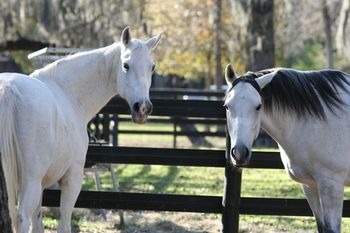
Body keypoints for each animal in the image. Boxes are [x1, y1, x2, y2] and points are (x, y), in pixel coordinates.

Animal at [0, 26, 161, 232]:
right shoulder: (73, 178)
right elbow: (64, 224)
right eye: (126, 65)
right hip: (30, 181)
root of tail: (8, 89)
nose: (142, 108)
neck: (67, 93)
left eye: (152, 67)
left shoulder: (43, 186)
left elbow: (38, 224)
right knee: (22, 218)